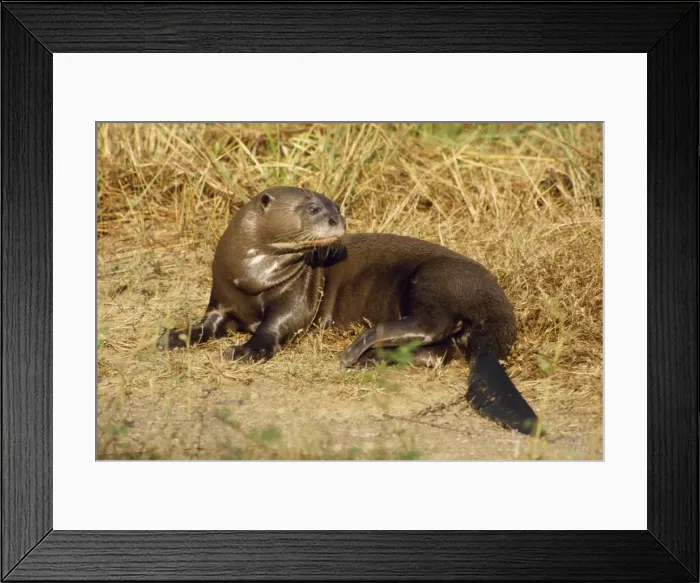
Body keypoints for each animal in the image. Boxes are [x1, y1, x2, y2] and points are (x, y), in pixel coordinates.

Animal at [158, 186, 540, 435]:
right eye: (313, 208)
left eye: (336, 206)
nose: (337, 220)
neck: (251, 274)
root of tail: (495, 300)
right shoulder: (222, 298)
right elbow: (205, 325)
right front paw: (172, 337)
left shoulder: (295, 297)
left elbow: (275, 325)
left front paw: (244, 350)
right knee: (439, 351)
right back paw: (370, 359)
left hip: (435, 278)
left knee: (434, 324)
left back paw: (357, 349)